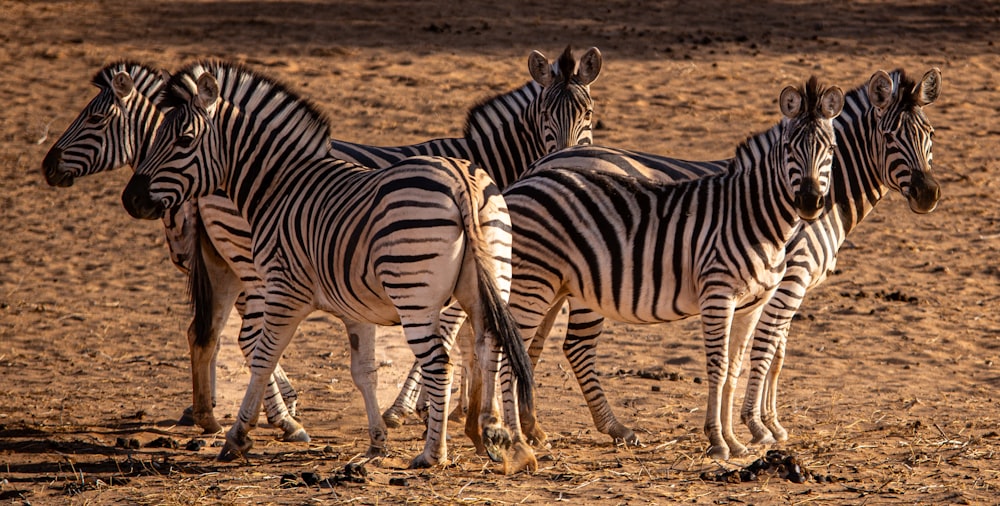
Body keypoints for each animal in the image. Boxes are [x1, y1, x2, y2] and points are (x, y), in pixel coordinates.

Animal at [121, 60, 540, 470]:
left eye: (184, 140)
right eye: (156, 137)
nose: (130, 199)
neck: (279, 186)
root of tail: (461, 182)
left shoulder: (284, 290)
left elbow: (263, 357)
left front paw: (238, 438)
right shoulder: (357, 308)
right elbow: (364, 372)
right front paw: (377, 442)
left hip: (413, 296)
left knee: (440, 363)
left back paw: (433, 454)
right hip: (489, 281)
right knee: (490, 345)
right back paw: (495, 438)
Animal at [512, 67, 940, 450]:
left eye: (930, 135)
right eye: (889, 136)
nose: (928, 194)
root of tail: (543, 163)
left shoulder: (776, 285)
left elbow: (774, 354)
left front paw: (769, 424)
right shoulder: (792, 278)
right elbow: (766, 353)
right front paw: (757, 426)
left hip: (558, 280)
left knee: (536, 341)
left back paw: (533, 427)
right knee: (574, 345)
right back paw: (607, 428)